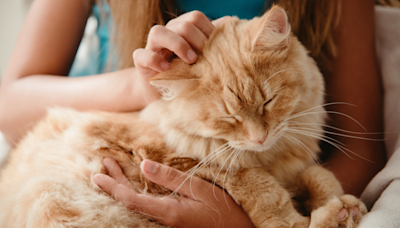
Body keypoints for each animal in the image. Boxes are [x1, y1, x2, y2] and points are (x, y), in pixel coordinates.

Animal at [0, 5, 366, 228]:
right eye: (229, 119)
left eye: (268, 102)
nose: (259, 138)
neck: (271, 157)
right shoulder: (182, 162)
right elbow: (264, 190)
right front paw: (315, 214)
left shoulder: (292, 166)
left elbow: (319, 175)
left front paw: (343, 202)